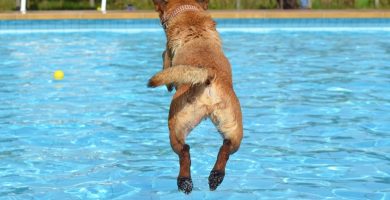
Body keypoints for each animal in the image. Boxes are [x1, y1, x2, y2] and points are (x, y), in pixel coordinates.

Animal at [148, 0, 242, 194]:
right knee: (226, 147)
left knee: (184, 151)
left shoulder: (167, 57)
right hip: (234, 128)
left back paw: (184, 182)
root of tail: (208, 75)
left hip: (176, 125)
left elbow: (164, 57)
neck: (189, 13)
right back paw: (215, 177)